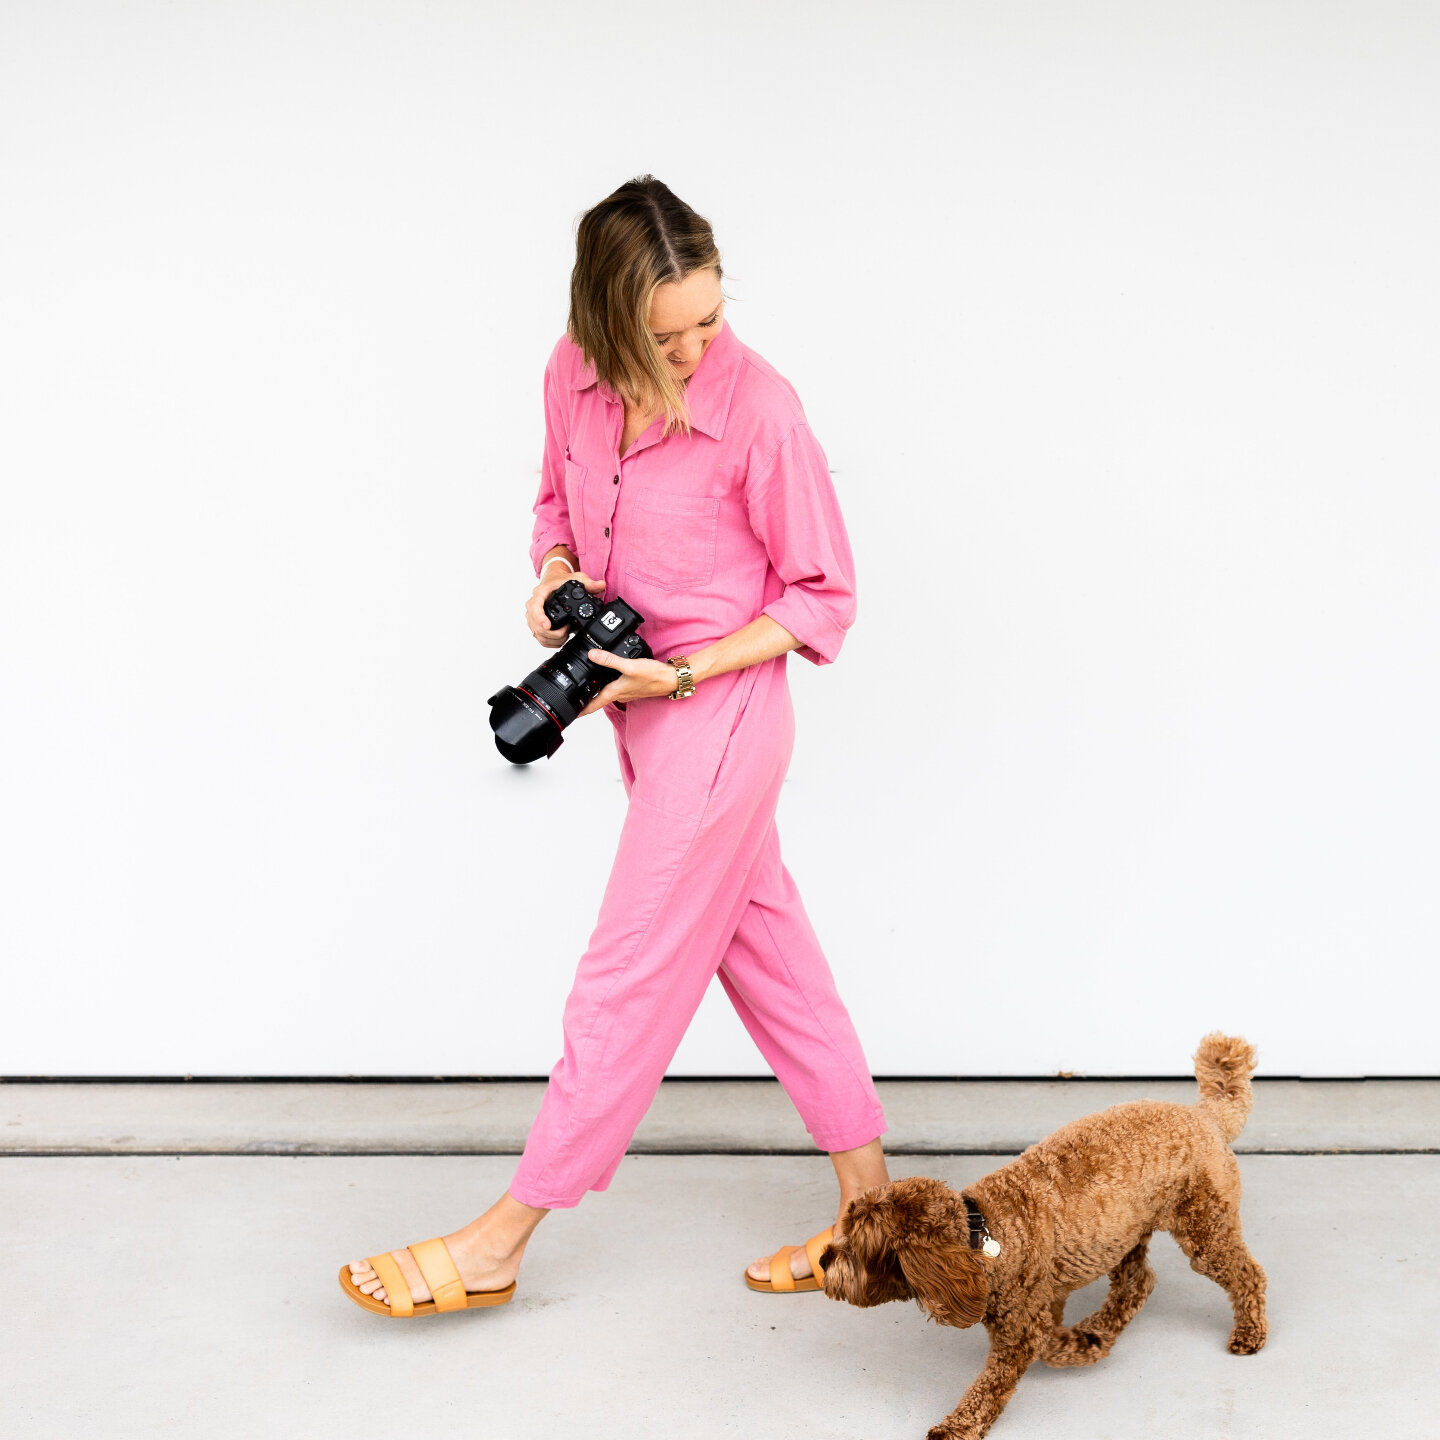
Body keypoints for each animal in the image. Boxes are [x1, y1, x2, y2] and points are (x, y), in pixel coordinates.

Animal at [817, 1031, 1267, 1434]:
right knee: (1138, 1281)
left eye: (858, 1247)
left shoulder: (1023, 1324)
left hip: (1205, 1229)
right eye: (845, 1231)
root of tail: (1206, 1116)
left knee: (1248, 1275)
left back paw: (1248, 1332)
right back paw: (1101, 1324)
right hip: (1123, 1235)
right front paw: (1085, 1342)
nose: (823, 1259)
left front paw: (958, 1426)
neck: (982, 1235)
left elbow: (1006, 1374)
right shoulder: (1046, 1299)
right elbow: (1050, 1334)